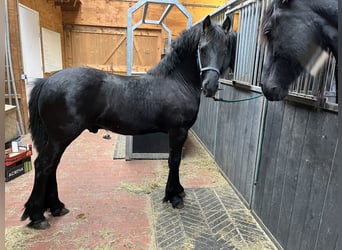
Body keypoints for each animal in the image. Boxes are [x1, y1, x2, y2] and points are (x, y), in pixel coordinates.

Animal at [21, 15, 235, 229]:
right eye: (202, 49)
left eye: (225, 50)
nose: (210, 87)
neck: (177, 82)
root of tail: (46, 82)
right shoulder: (178, 131)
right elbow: (174, 161)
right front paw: (173, 196)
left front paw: (178, 191)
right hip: (61, 137)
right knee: (44, 165)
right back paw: (37, 216)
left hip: (56, 138)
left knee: (52, 166)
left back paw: (56, 207)